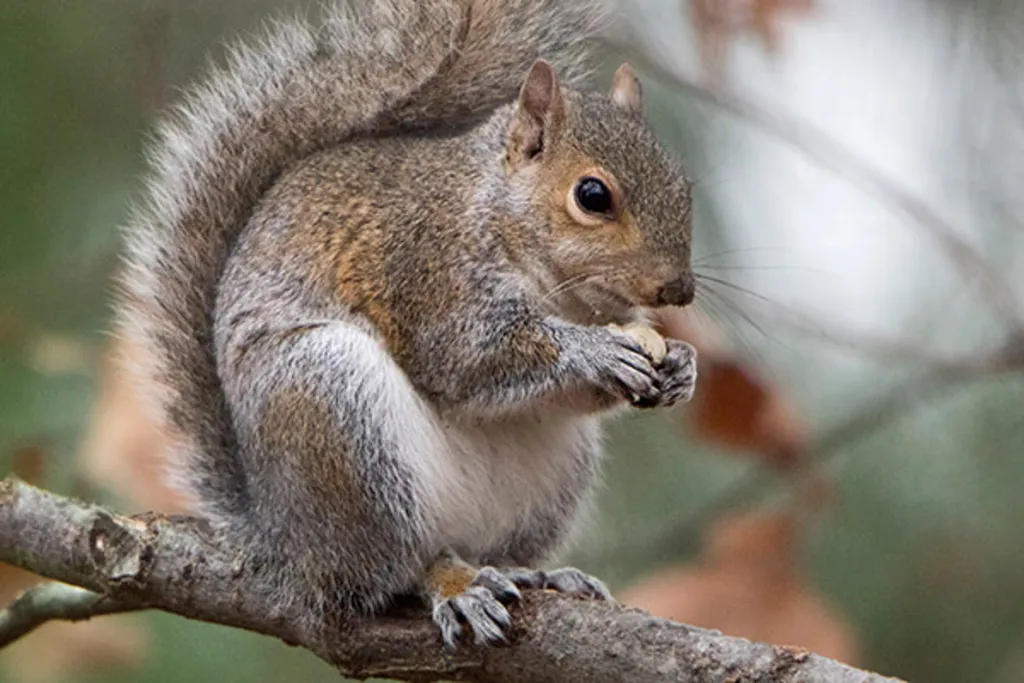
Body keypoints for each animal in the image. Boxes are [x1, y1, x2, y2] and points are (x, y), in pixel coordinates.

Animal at [115, 0, 697, 648]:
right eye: (592, 195)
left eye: (685, 188)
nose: (679, 289)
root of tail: (283, 539)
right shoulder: (428, 273)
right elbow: (471, 358)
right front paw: (595, 351)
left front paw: (680, 367)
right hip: (335, 413)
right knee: (391, 570)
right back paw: (452, 584)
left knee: (488, 549)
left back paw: (535, 574)